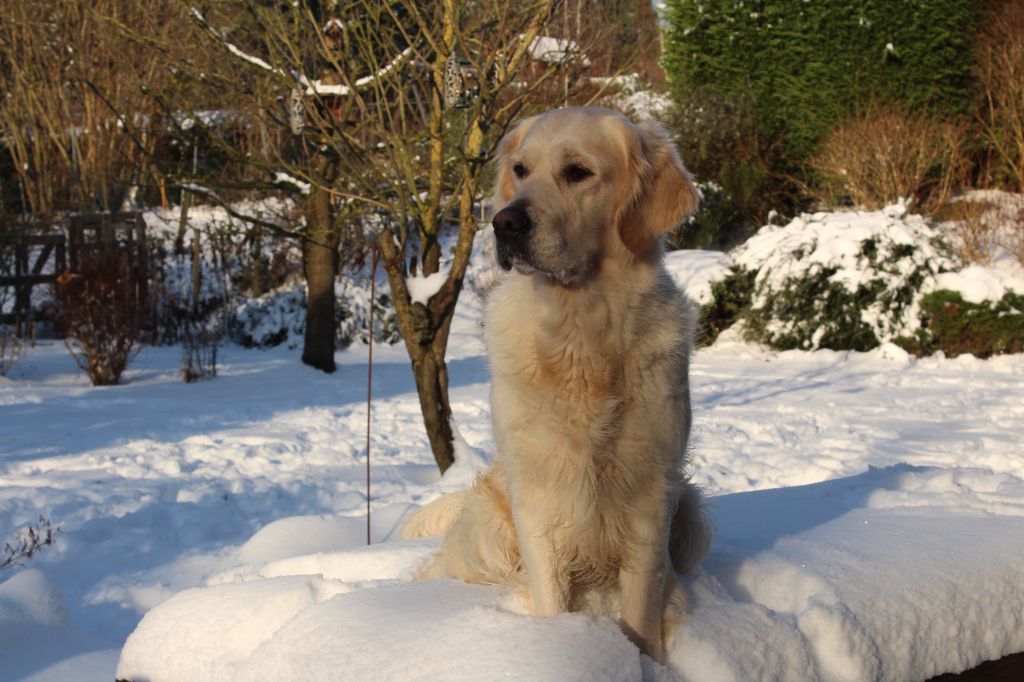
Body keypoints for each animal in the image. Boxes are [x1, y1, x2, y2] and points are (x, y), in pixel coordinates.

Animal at [401, 104, 712, 659]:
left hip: (693, 518)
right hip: (490, 530)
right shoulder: (535, 495)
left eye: (578, 172)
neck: (580, 337)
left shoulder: (652, 493)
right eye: (521, 170)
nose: (505, 223)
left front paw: (644, 659)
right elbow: (549, 593)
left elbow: (641, 609)